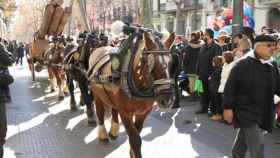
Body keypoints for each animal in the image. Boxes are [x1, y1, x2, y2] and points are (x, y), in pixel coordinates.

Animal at [88, 28, 176, 158]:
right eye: (150, 64)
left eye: (171, 63)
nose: (167, 99)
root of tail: (99, 48)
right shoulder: (125, 113)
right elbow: (135, 139)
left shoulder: (143, 113)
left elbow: (136, 134)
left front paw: (132, 152)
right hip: (97, 93)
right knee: (100, 113)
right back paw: (103, 134)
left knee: (114, 109)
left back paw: (113, 131)